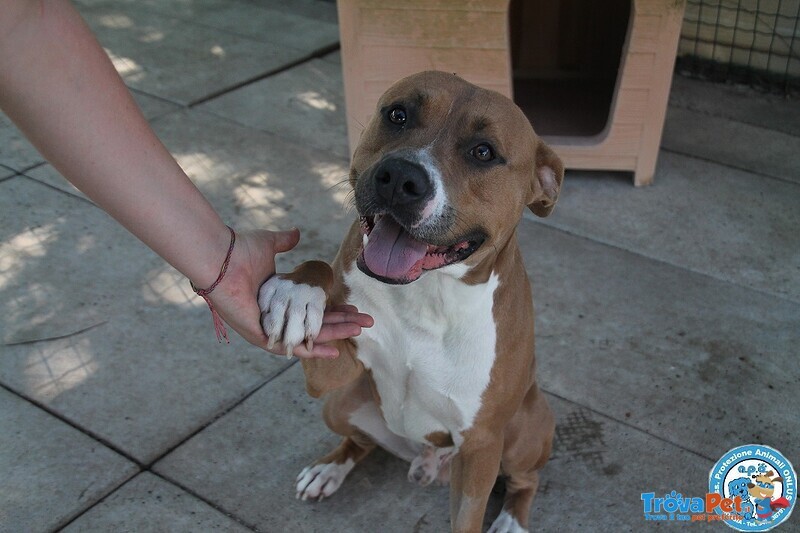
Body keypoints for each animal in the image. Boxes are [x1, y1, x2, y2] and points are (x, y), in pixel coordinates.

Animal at [260, 71, 560, 532]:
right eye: (397, 114)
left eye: (484, 152)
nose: (400, 177)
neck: (426, 294)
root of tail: (427, 459)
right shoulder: (331, 373)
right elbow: (319, 269)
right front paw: (297, 292)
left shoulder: (481, 445)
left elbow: (468, 520)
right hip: (342, 403)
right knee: (360, 441)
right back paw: (330, 468)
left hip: (523, 432)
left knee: (526, 479)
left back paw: (512, 517)